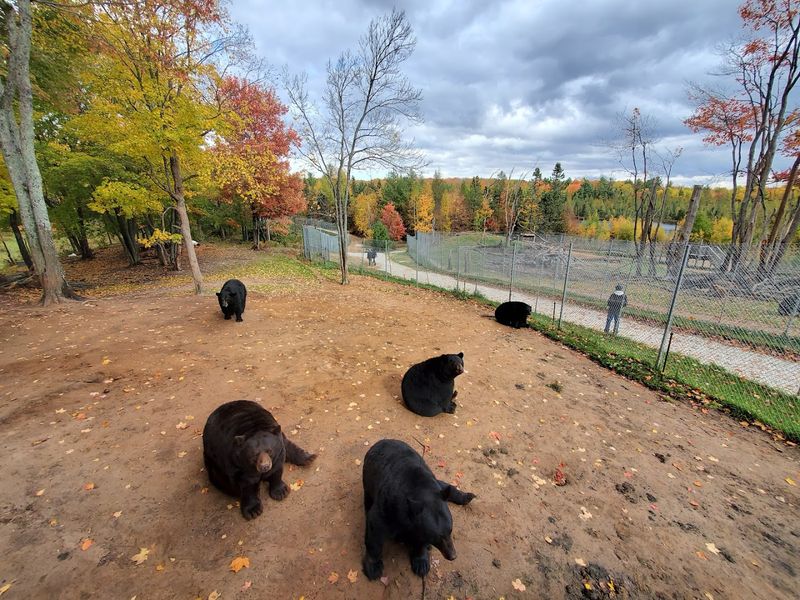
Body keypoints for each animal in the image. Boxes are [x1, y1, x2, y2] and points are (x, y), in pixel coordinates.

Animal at [362, 438, 475, 580]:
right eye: (437, 537)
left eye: (450, 530)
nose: (452, 555)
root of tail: (383, 440)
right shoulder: (388, 506)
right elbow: (375, 530)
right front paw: (373, 567)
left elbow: (420, 540)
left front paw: (421, 563)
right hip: (367, 482)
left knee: (444, 485)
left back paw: (467, 496)